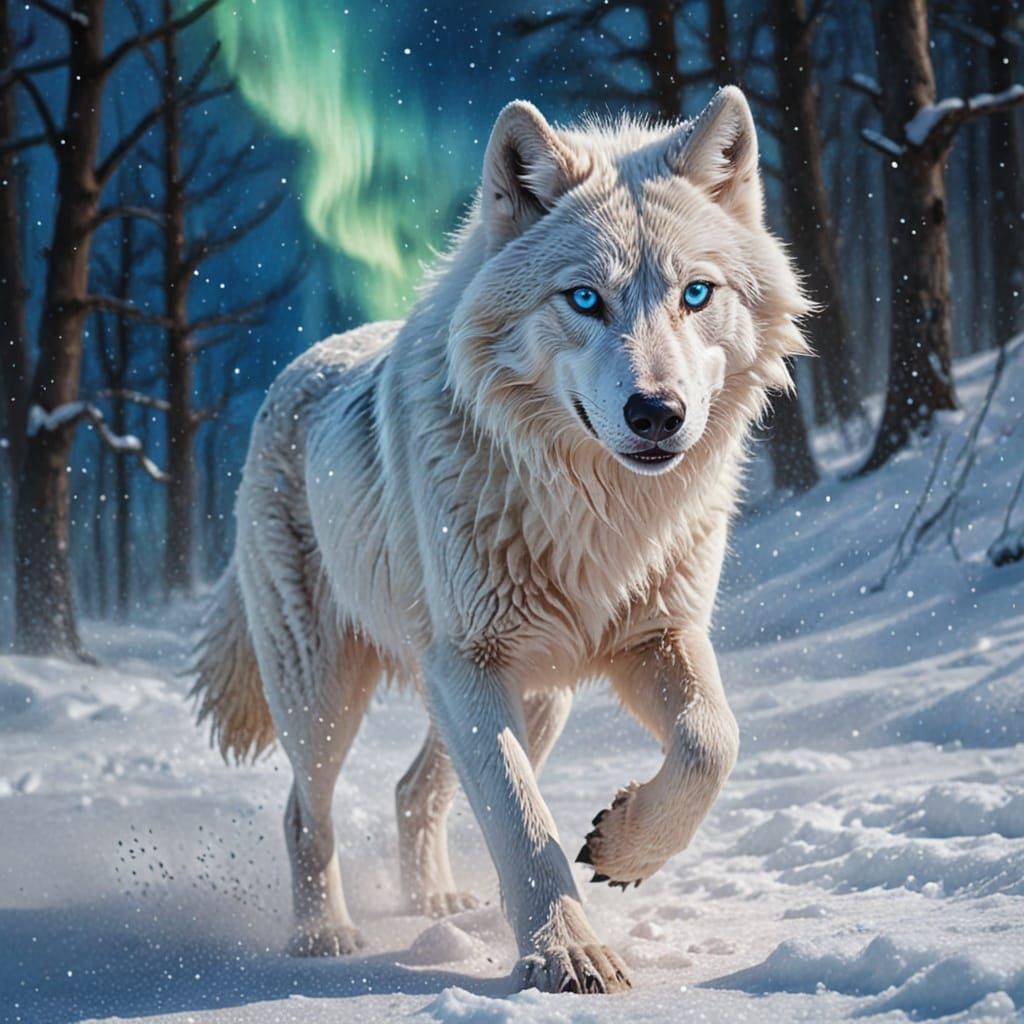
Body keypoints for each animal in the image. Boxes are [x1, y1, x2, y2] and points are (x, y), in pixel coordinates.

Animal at [191, 85, 809, 994]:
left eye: (697, 294)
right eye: (585, 299)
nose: (657, 413)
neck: (598, 511)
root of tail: (296, 370)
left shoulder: (660, 635)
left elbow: (712, 742)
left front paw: (626, 847)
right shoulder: (471, 665)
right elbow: (521, 822)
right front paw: (567, 956)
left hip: (535, 696)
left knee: (415, 789)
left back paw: (436, 905)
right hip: (324, 689)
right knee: (306, 809)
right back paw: (324, 936)